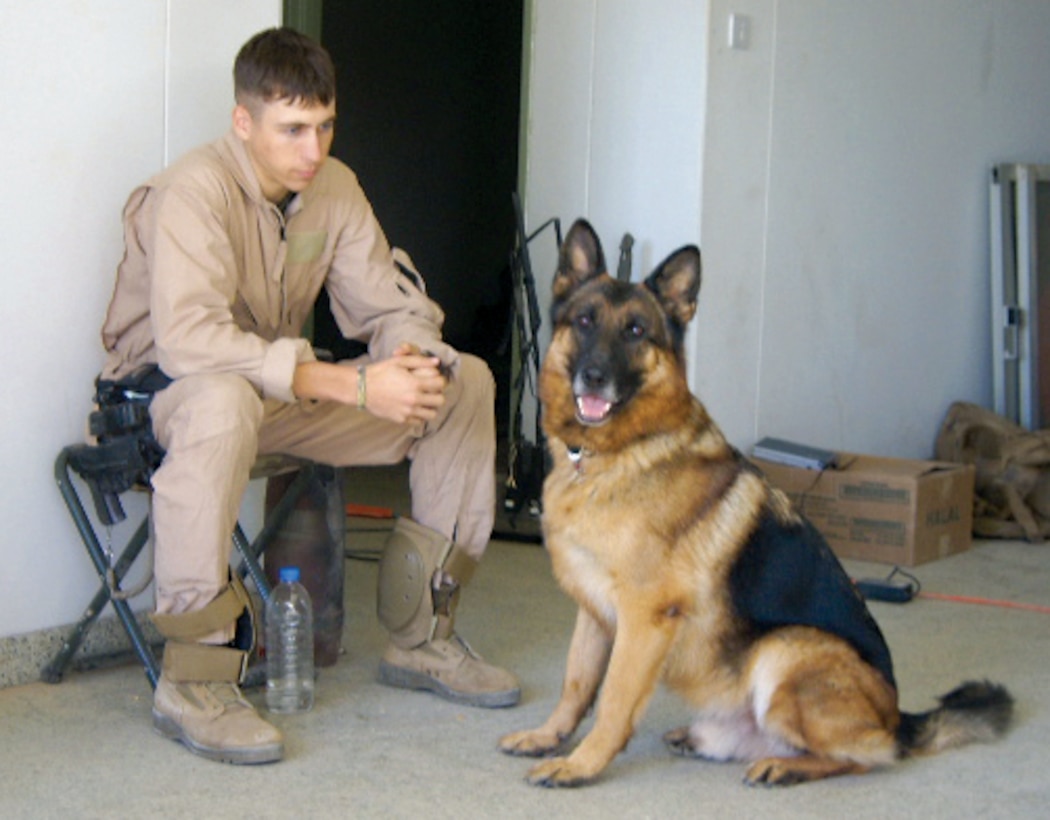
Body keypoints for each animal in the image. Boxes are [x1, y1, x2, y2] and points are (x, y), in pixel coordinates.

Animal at [495, 219, 1012, 785]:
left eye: (635, 331)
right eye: (585, 321)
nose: (593, 376)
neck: (615, 454)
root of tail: (897, 718)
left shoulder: (643, 618)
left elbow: (612, 699)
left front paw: (582, 765)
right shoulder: (594, 611)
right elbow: (576, 683)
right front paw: (549, 737)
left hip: (784, 650)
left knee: (864, 757)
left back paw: (785, 766)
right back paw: (707, 738)